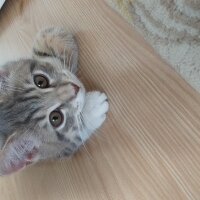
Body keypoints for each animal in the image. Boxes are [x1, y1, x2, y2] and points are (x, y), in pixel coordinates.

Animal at [0, 27, 108, 175]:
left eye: (40, 81)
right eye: (55, 118)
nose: (75, 88)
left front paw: (53, 39)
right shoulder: (59, 151)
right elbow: (76, 135)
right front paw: (93, 107)